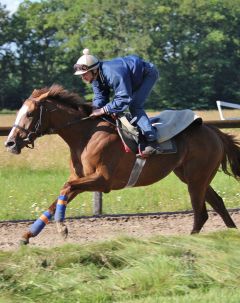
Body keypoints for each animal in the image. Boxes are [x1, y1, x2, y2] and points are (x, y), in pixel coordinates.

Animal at [4, 84, 239, 246]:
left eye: (29, 114)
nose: (10, 143)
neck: (86, 135)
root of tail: (213, 130)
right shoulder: (81, 179)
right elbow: (58, 198)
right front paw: (26, 235)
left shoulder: (103, 181)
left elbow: (65, 188)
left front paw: (62, 227)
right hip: (193, 176)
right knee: (217, 203)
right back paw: (231, 233)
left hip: (196, 177)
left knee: (201, 212)